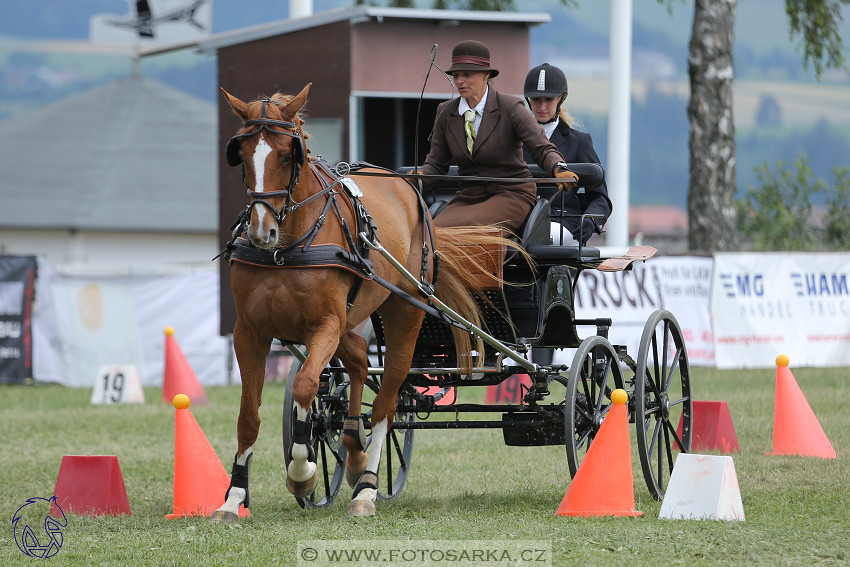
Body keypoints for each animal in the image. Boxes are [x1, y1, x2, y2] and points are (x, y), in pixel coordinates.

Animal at [212, 83, 504, 520]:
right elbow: (251, 414)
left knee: (388, 402)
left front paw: (303, 473)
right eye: (242, 153)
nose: (262, 231)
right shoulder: (249, 332)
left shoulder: (325, 325)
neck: (288, 247)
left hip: (405, 312)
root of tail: (407, 186)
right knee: (360, 366)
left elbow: (305, 386)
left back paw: (366, 486)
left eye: (288, 154)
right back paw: (352, 451)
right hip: (352, 324)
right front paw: (233, 498)